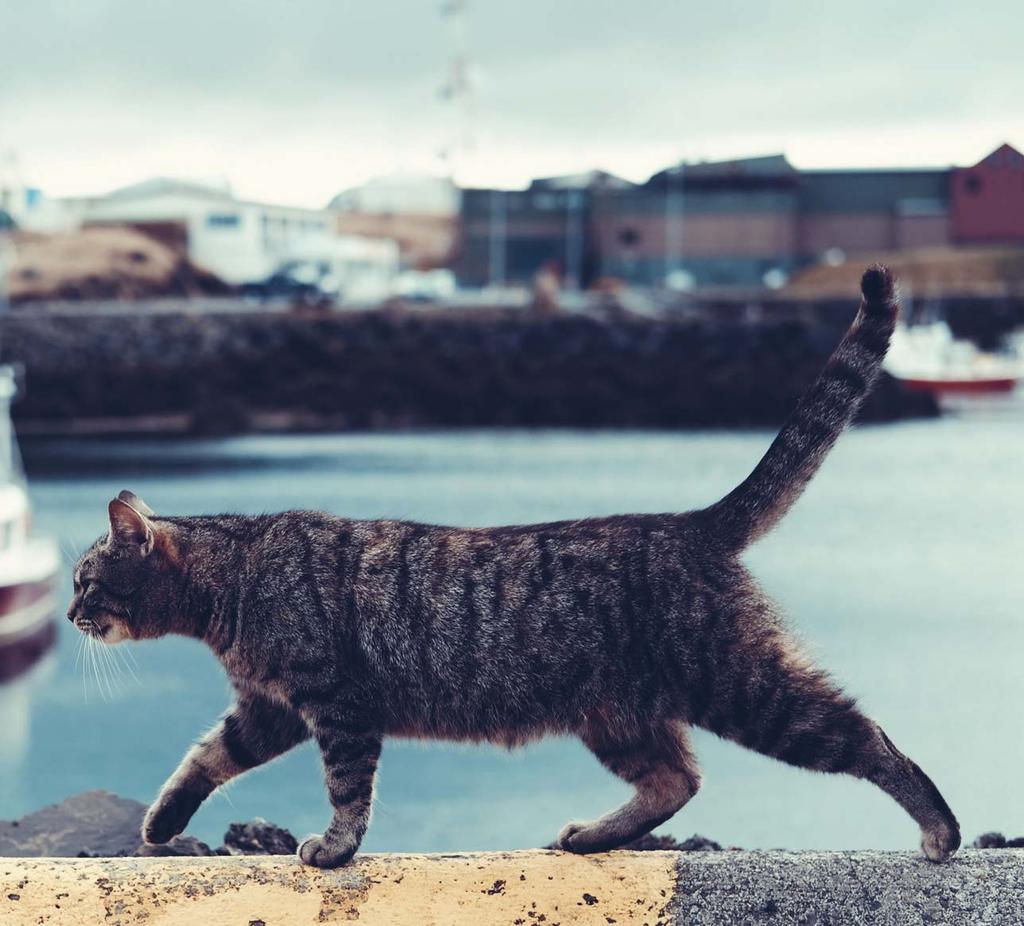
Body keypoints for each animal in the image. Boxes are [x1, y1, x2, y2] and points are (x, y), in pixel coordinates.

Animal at [70, 266, 958, 868]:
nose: (72, 615)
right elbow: (202, 759)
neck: (234, 579)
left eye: (84, 581)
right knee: (676, 781)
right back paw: (594, 836)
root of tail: (690, 523)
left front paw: (335, 847)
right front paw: (161, 823)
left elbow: (348, 790)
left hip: (744, 687)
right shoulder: (269, 710)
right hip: (619, 717)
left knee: (863, 735)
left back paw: (939, 829)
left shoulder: (335, 704)